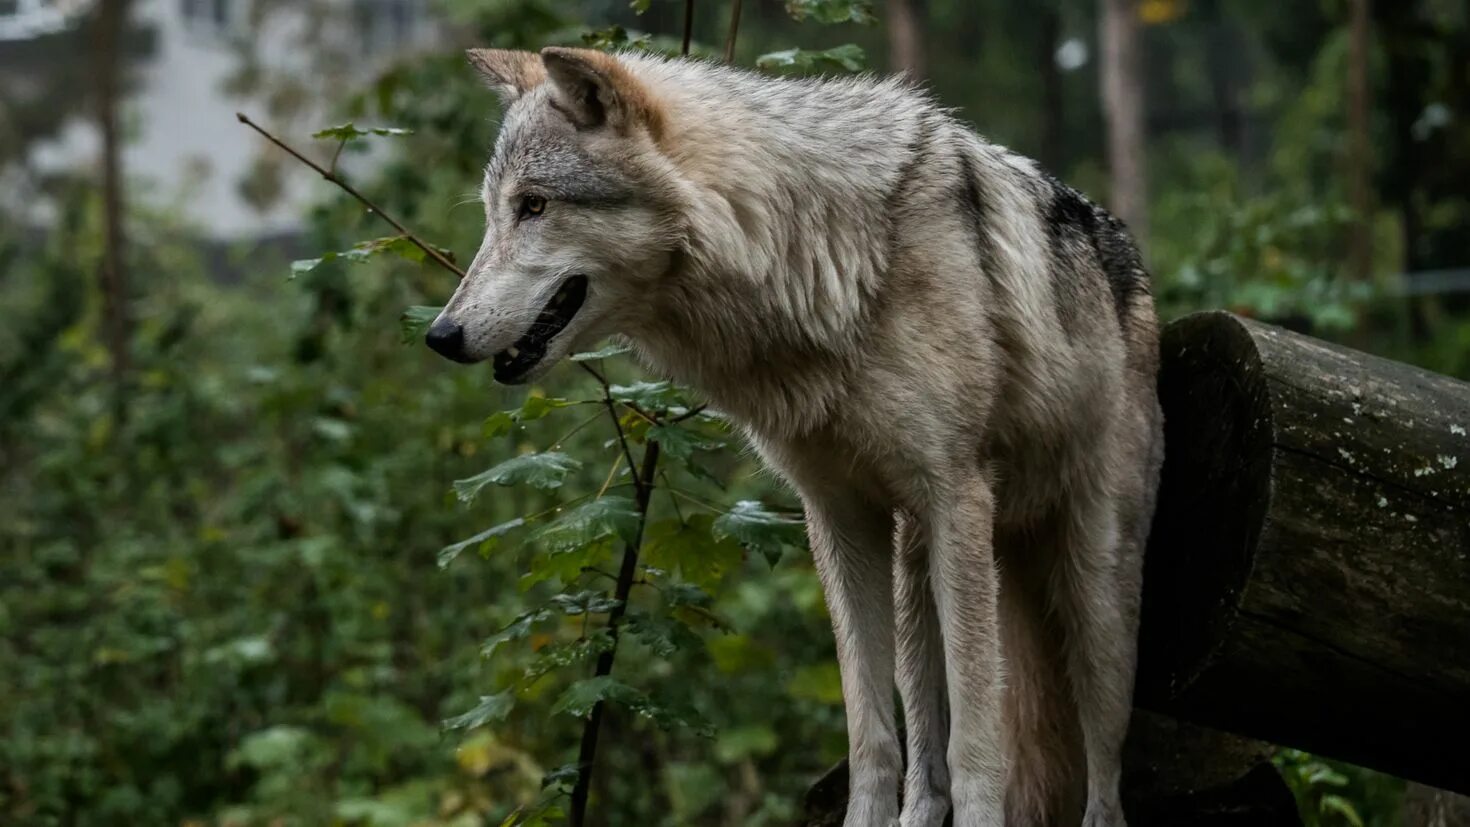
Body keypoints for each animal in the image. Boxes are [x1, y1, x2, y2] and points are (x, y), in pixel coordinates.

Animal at [426, 48, 1158, 827]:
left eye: (534, 205)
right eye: (492, 213)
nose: (439, 336)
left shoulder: (956, 495)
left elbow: (979, 737)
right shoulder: (836, 515)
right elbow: (870, 732)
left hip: (1091, 601)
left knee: (1103, 776)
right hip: (915, 575)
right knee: (926, 762)